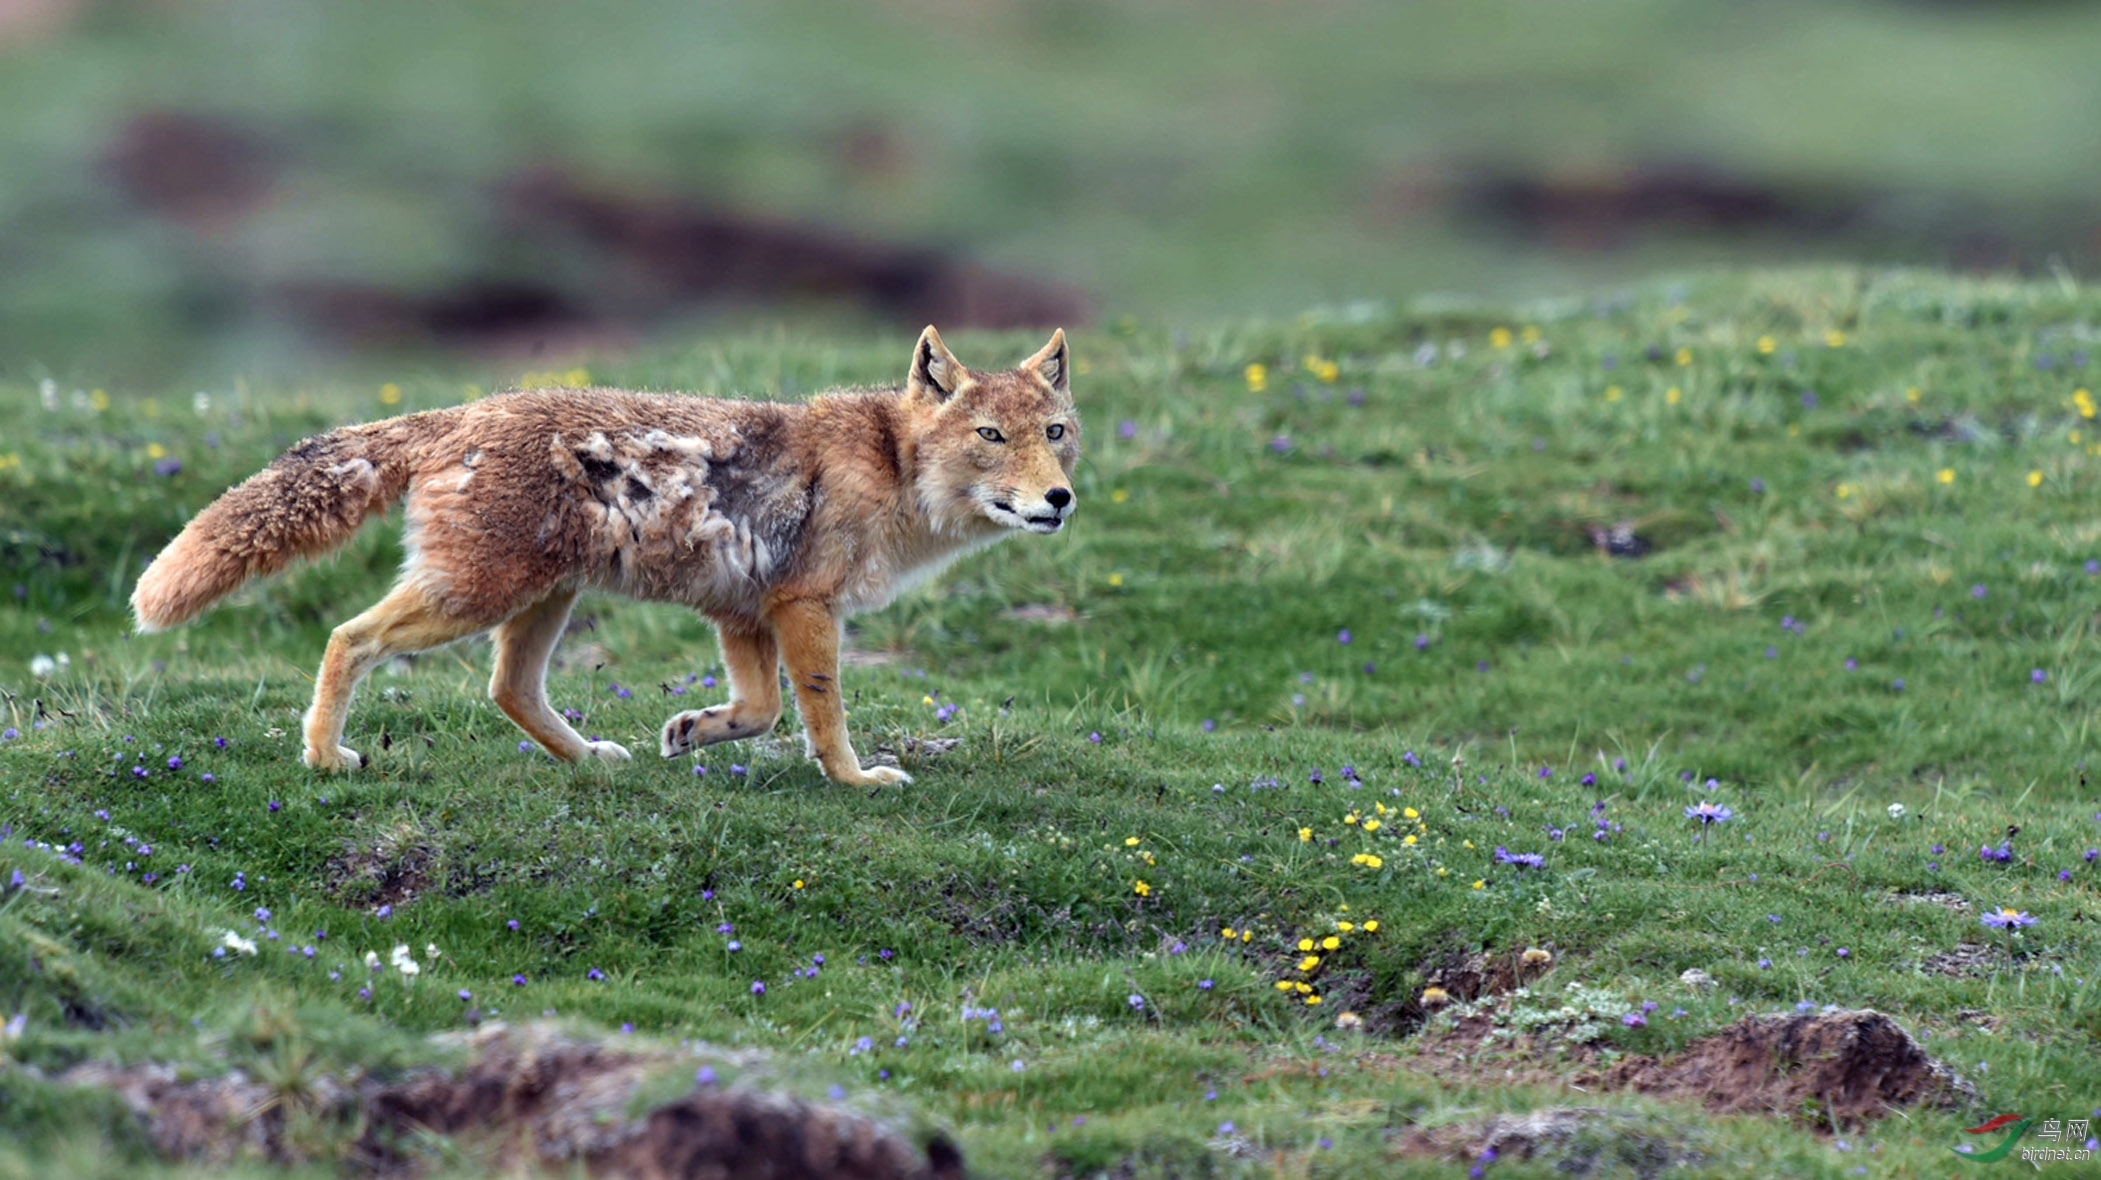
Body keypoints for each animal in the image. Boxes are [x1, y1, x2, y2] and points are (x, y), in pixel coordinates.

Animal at [127, 323, 1084, 781]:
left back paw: (589, 760)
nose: (1058, 500)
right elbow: (821, 717)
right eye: (991, 436)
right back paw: (326, 757)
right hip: (473, 598)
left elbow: (760, 710)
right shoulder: (804, 608)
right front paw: (854, 781)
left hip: (540, 602)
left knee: (507, 691)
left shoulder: (745, 612)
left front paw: (695, 730)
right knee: (346, 638)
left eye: (1055, 434)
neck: (891, 464)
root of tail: (459, 414)